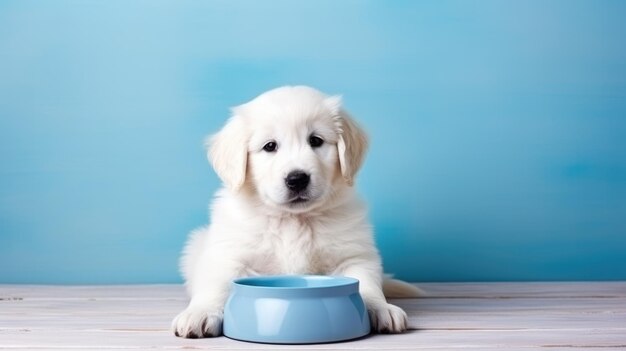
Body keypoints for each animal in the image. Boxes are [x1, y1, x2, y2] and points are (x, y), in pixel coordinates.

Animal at [169, 84, 420, 338]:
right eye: (270, 146)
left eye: (316, 140)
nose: (297, 179)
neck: (293, 219)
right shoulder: (229, 255)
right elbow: (216, 285)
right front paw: (200, 313)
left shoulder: (353, 255)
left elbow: (366, 284)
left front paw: (381, 308)